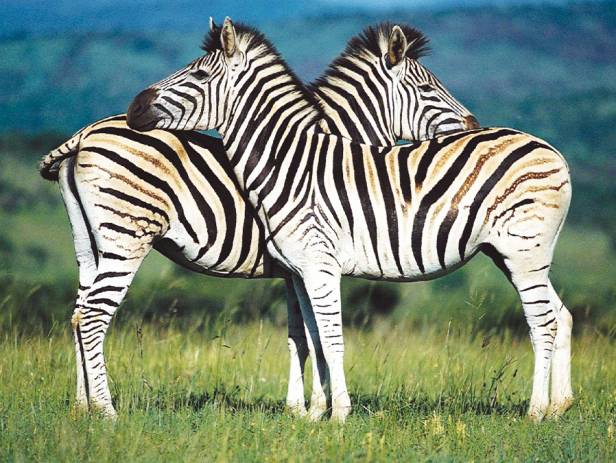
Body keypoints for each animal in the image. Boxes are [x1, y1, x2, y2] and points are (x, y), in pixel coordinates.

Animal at [39, 21, 476, 420]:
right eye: (428, 89)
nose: (473, 126)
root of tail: (85, 134)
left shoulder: (295, 268)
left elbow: (300, 335)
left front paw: (299, 409)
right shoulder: (306, 261)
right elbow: (309, 336)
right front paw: (309, 410)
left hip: (90, 244)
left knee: (78, 313)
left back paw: (82, 408)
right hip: (127, 234)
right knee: (94, 314)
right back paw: (107, 411)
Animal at [127, 18, 576, 424]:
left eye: (199, 74)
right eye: (427, 88)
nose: (134, 108)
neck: (291, 165)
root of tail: (552, 150)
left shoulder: (319, 266)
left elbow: (329, 340)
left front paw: (338, 414)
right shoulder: (300, 271)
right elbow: (312, 340)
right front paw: (314, 414)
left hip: (523, 251)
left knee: (543, 323)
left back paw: (536, 412)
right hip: (517, 254)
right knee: (558, 316)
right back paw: (558, 407)